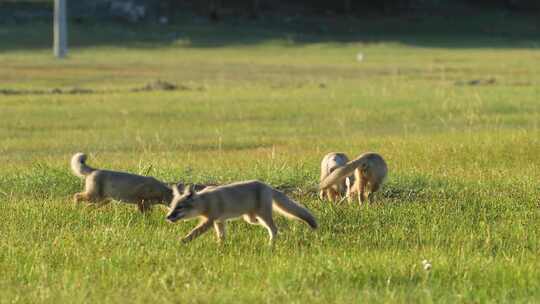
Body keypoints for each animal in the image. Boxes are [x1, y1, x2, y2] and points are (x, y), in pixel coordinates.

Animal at [165, 180, 316, 245]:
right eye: (172, 207)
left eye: (179, 208)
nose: (167, 217)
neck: (205, 200)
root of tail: (267, 185)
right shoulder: (219, 221)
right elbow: (221, 237)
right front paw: (220, 247)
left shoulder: (209, 221)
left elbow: (194, 232)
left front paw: (182, 241)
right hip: (250, 218)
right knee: (273, 226)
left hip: (262, 216)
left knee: (274, 228)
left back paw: (271, 244)